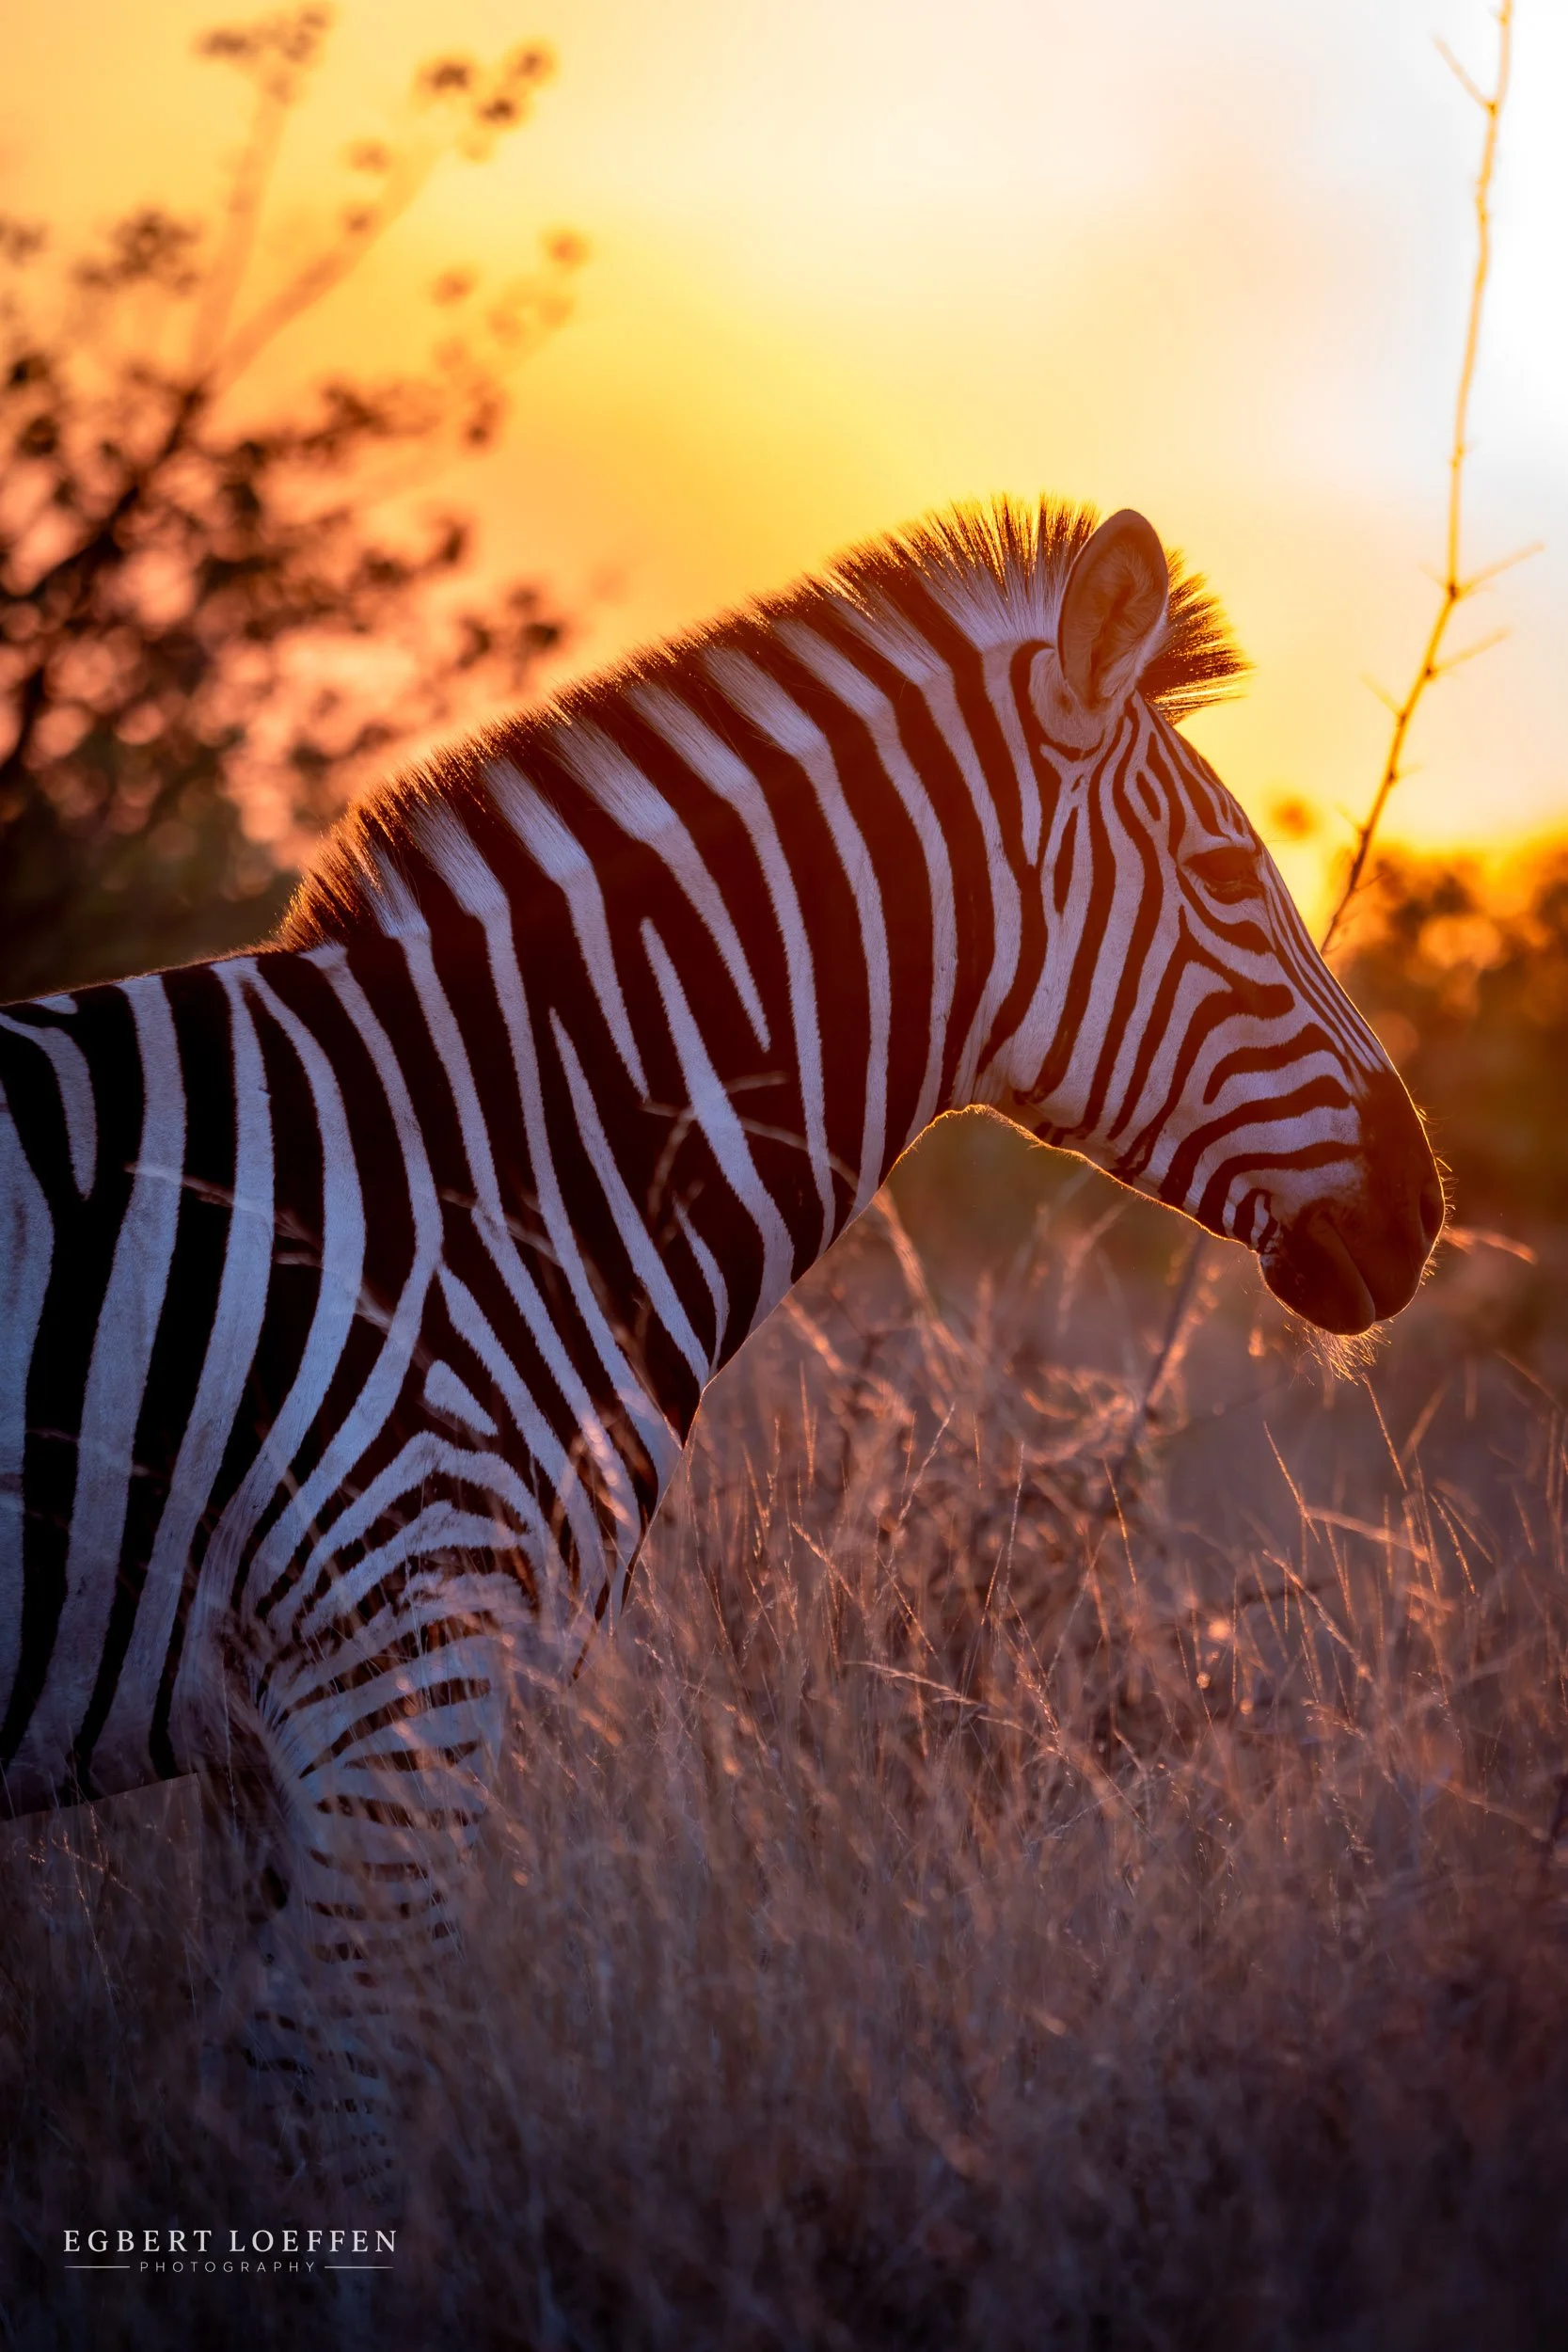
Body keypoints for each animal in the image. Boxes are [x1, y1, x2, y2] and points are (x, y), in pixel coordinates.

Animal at [0, 498, 1440, 2158]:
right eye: (1218, 875)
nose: (1421, 1211)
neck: (489, 1162)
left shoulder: (278, 1736)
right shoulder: (399, 1668)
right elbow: (342, 2107)